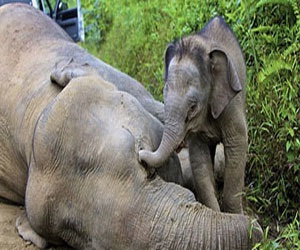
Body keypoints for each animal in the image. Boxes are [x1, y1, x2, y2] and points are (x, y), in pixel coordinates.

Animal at [139, 16, 247, 214]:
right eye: (163, 97)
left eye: (192, 107)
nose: (140, 153)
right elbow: (199, 157)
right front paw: (215, 213)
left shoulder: (231, 103)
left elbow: (237, 145)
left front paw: (235, 215)